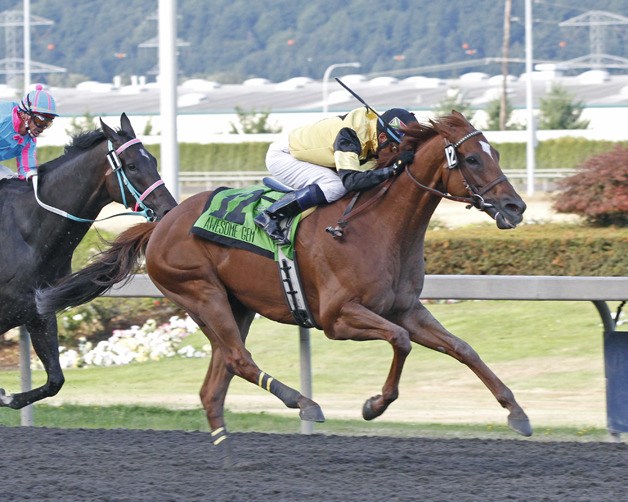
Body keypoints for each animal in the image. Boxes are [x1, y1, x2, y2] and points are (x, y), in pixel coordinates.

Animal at [36, 112, 528, 464]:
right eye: (471, 159)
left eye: (497, 153)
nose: (515, 207)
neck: (377, 226)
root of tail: (161, 223)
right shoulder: (337, 318)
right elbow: (402, 342)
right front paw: (374, 405)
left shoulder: (406, 308)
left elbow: (463, 348)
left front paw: (517, 413)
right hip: (200, 292)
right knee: (239, 359)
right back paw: (303, 403)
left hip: (235, 306)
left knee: (215, 382)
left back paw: (230, 453)